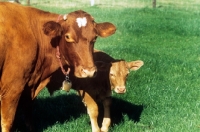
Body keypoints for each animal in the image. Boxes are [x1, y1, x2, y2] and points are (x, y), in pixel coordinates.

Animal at [0, 1, 115, 131]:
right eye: (68, 37)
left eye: (94, 37)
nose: (89, 71)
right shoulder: (12, 87)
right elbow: (7, 122)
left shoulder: (28, 87)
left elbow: (28, 113)